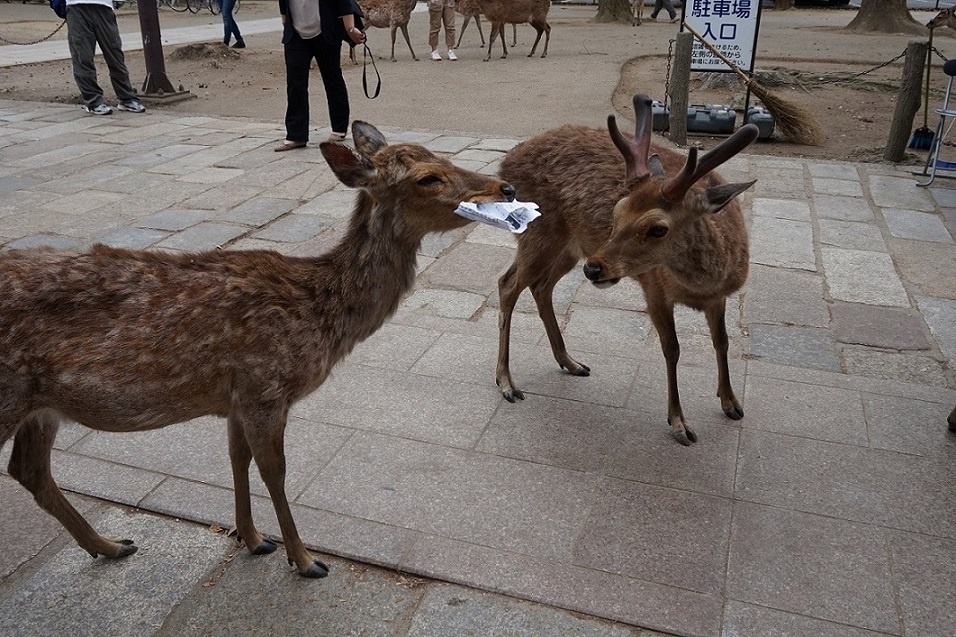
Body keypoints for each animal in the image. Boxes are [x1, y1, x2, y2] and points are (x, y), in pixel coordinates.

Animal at [0, 119, 516, 576]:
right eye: (428, 178)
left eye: (444, 156)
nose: (506, 187)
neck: (318, 313)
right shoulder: (265, 387)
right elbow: (276, 470)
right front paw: (305, 560)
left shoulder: (237, 398)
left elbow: (237, 459)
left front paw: (252, 538)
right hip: (10, 398)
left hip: (40, 407)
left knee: (28, 470)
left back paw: (110, 545)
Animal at [496, 94, 760, 444]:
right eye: (617, 211)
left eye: (658, 228)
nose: (594, 269)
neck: (701, 285)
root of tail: (504, 168)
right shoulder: (654, 288)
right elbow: (672, 349)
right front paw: (679, 423)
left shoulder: (719, 297)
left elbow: (722, 341)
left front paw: (731, 402)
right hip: (537, 234)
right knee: (508, 284)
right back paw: (507, 382)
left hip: (570, 248)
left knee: (541, 286)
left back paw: (571, 362)